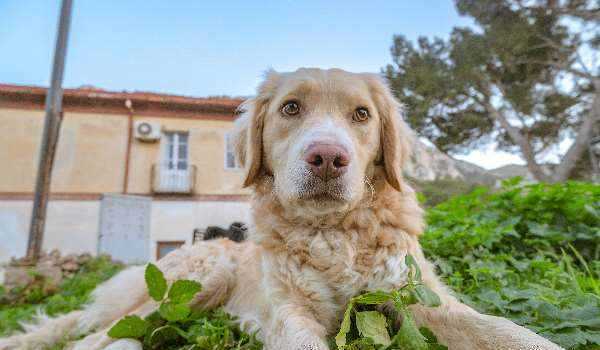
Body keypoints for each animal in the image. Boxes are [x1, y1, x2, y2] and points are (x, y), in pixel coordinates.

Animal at [0, 69, 564, 350]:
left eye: (362, 114)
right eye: (291, 108)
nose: (328, 158)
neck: (334, 233)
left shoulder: (423, 299)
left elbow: (511, 333)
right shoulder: (289, 312)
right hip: (201, 279)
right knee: (96, 338)